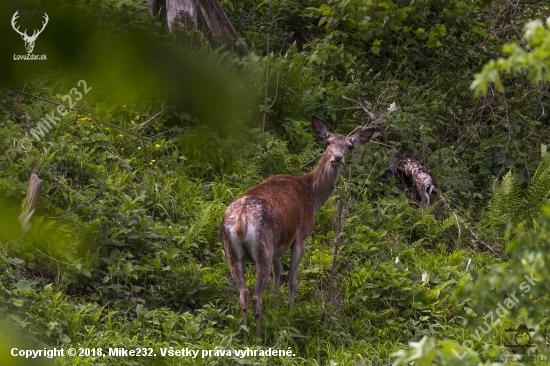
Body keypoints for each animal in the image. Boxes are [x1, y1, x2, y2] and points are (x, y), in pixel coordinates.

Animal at [220, 115, 380, 340]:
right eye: (328, 141)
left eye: (349, 146)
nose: (338, 157)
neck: (311, 194)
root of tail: (242, 219)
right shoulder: (301, 235)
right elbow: (293, 279)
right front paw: (290, 312)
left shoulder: (279, 245)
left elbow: (279, 272)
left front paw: (277, 307)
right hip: (262, 248)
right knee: (255, 295)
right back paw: (258, 337)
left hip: (232, 251)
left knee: (243, 293)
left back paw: (244, 336)